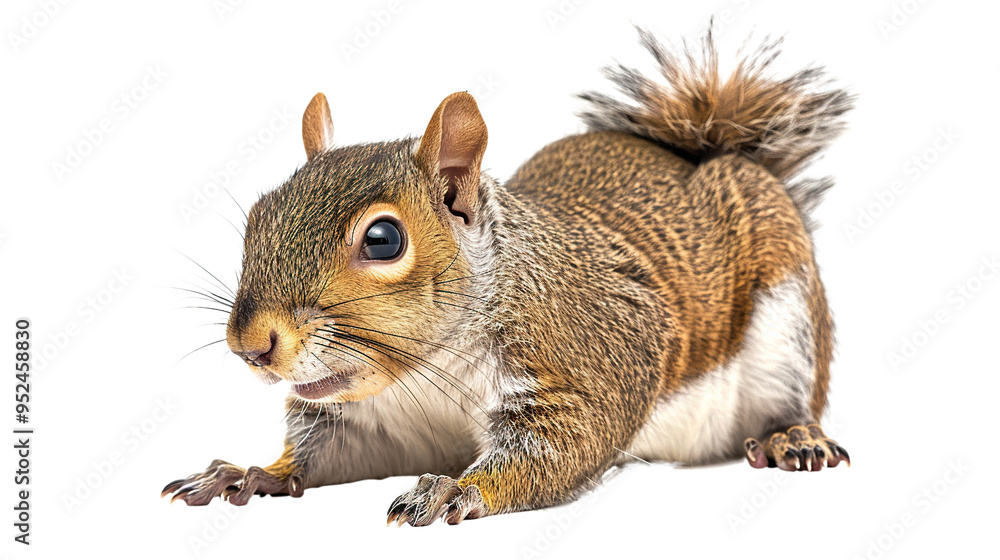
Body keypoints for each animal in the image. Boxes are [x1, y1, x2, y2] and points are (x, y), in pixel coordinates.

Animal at [162, 27, 853, 526]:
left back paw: (795, 438)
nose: (251, 345)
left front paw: (456, 491)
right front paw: (254, 471)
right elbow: (322, 451)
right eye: (257, 216)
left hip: (787, 321)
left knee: (791, 395)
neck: (425, 376)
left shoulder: (582, 364)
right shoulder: (375, 424)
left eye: (383, 240)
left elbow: (563, 444)